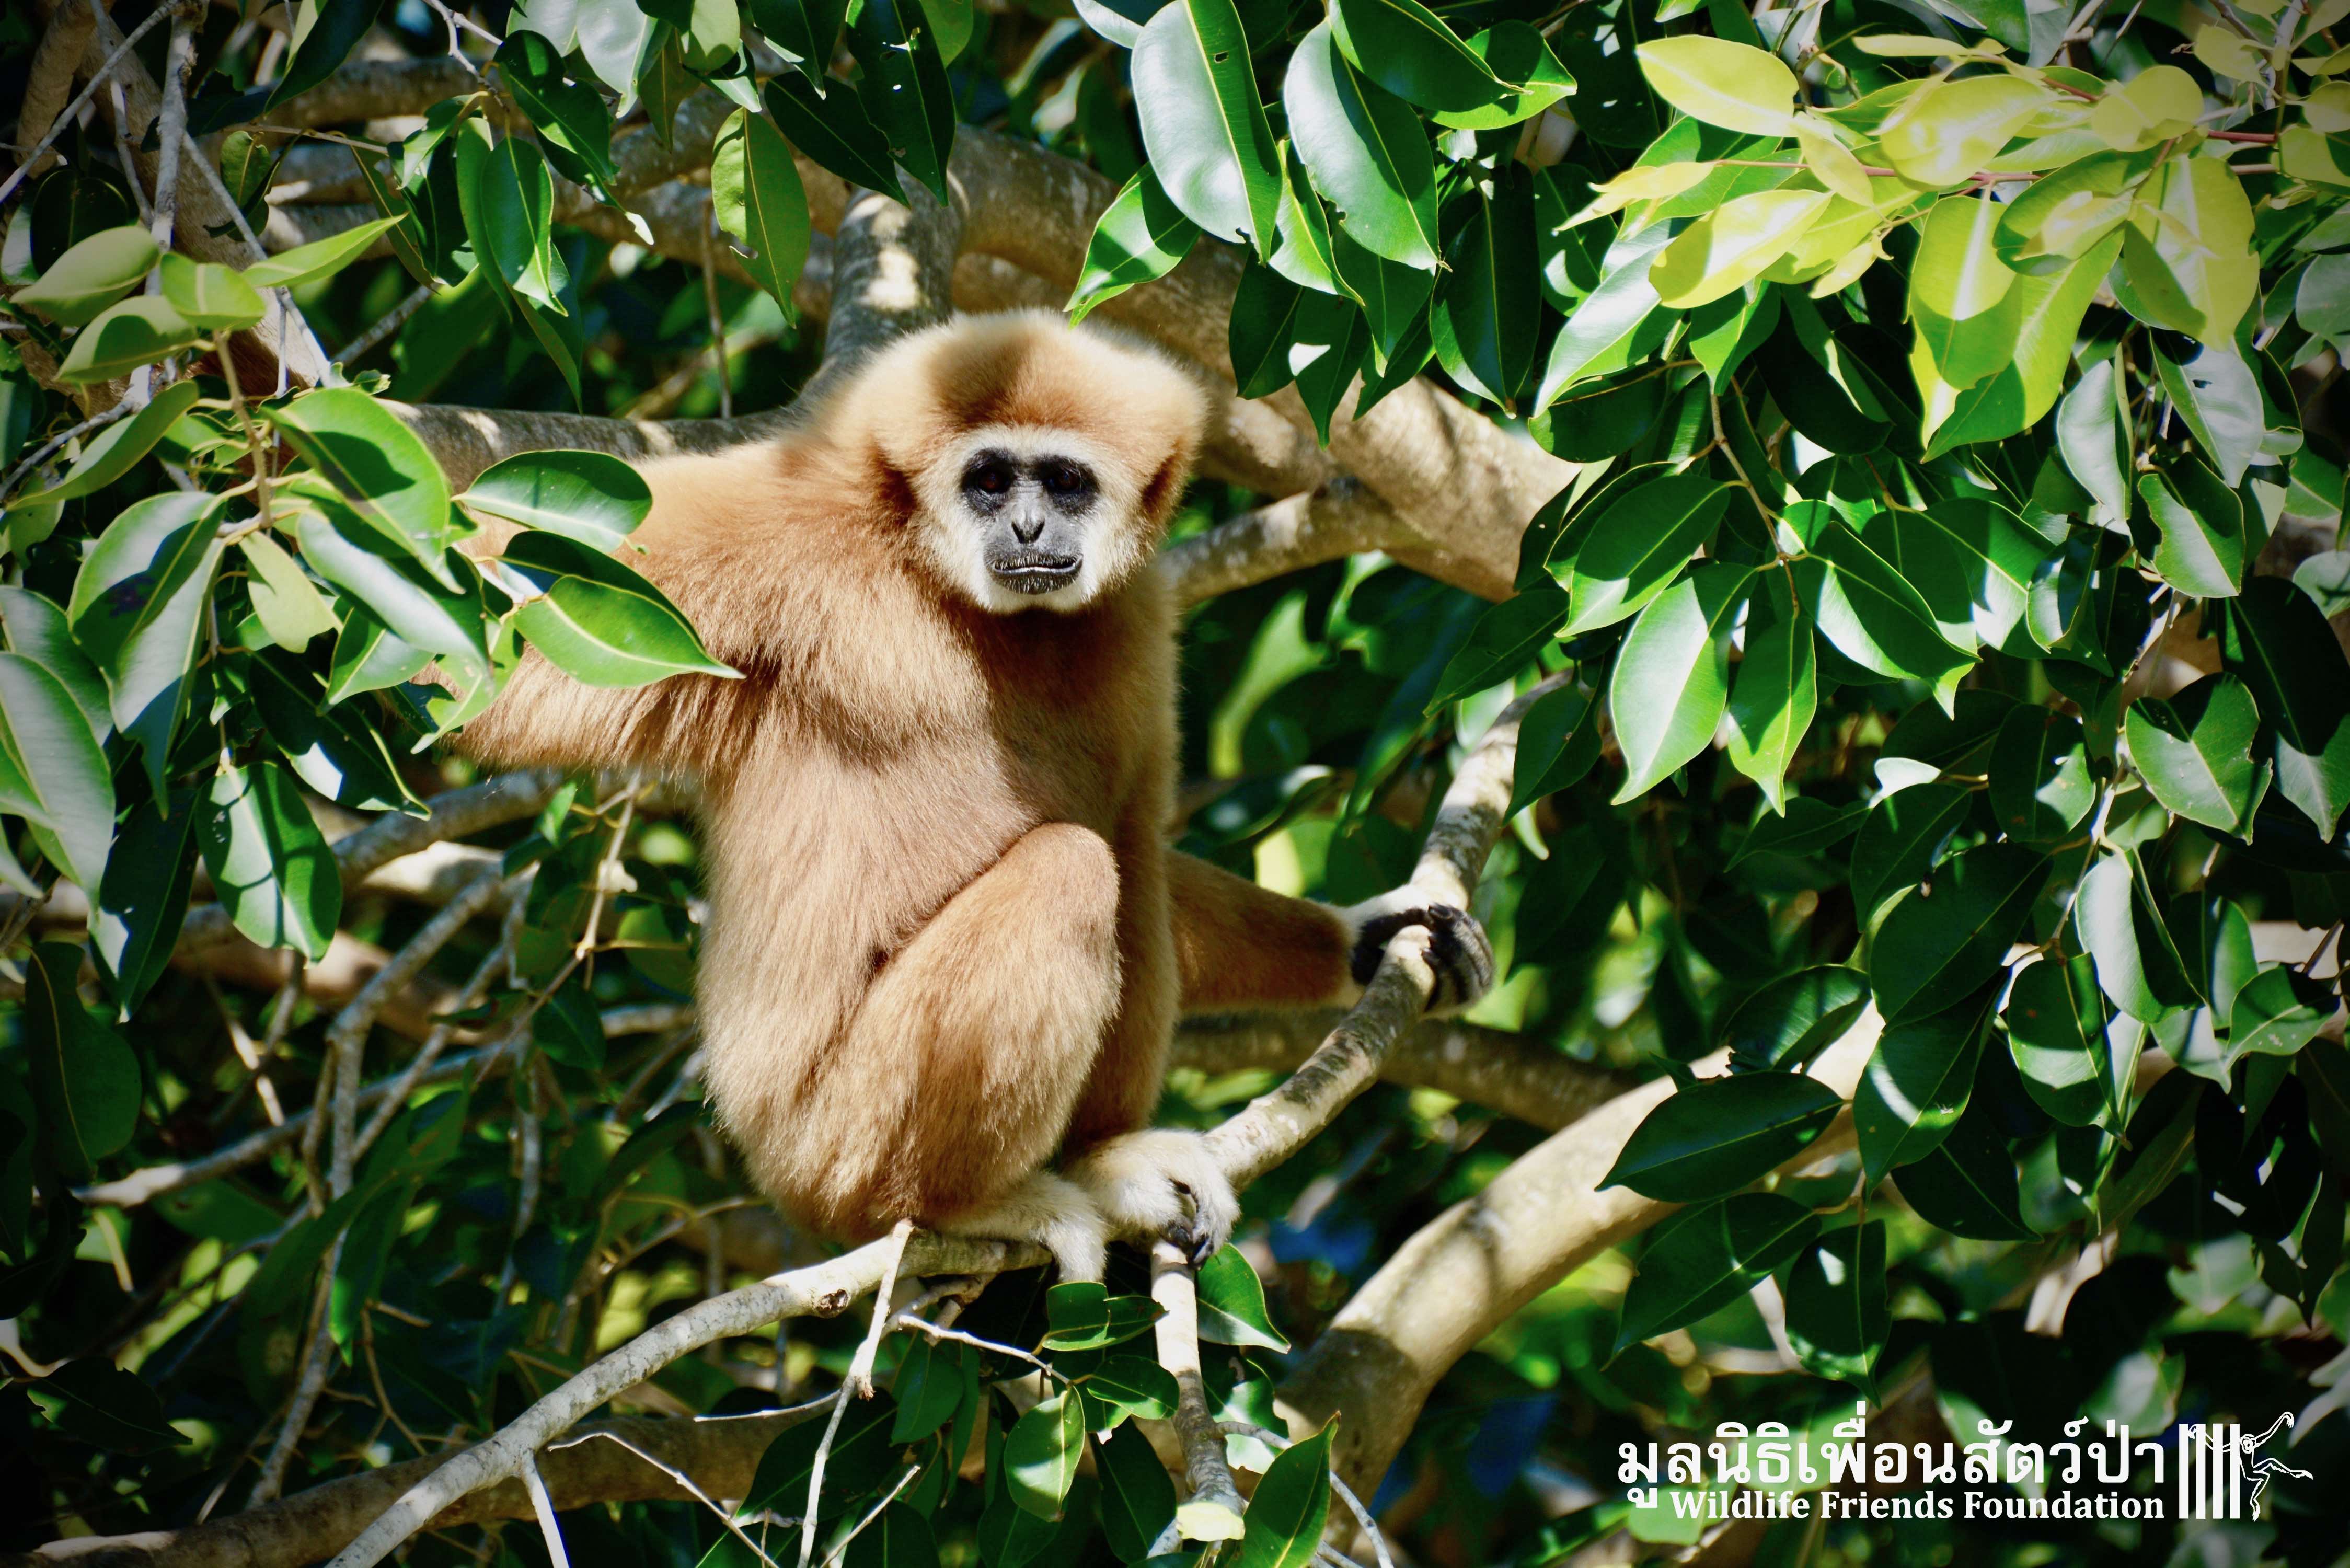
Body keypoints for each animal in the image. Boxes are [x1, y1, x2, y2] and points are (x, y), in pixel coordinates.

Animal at [451, 311, 1494, 1280]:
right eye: (990, 480)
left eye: (1066, 483)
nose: (1028, 528)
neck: (934, 578)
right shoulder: (773, 528)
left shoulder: (1138, 609)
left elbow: (1141, 825)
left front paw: (1366, 937)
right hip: (839, 1137)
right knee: (1075, 870)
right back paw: (964, 1204)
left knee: (1124, 862)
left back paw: (1108, 1154)